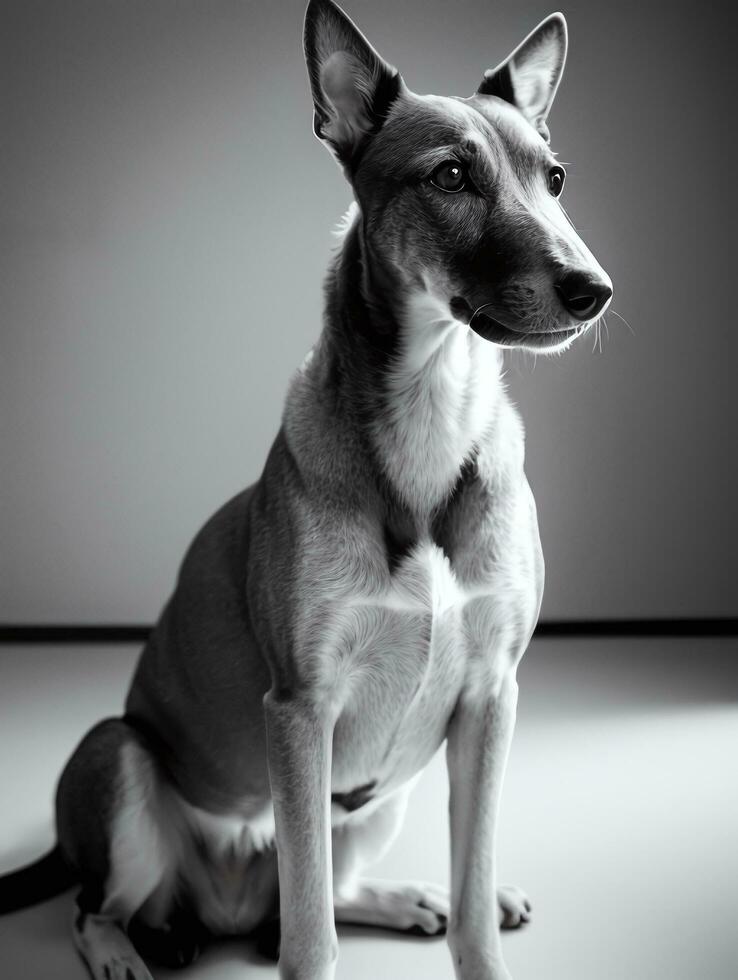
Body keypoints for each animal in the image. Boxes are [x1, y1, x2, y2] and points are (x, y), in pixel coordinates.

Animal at [0, 1, 608, 980]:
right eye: (450, 176)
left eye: (553, 179)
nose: (594, 289)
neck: (434, 409)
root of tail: (219, 906)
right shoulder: (299, 710)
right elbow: (309, 935)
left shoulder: (490, 700)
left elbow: (471, 897)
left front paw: (473, 911)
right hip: (119, 758)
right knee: (101, 907)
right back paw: (124, 951)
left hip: (380, 797)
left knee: (336, 884)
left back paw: (418, 898)